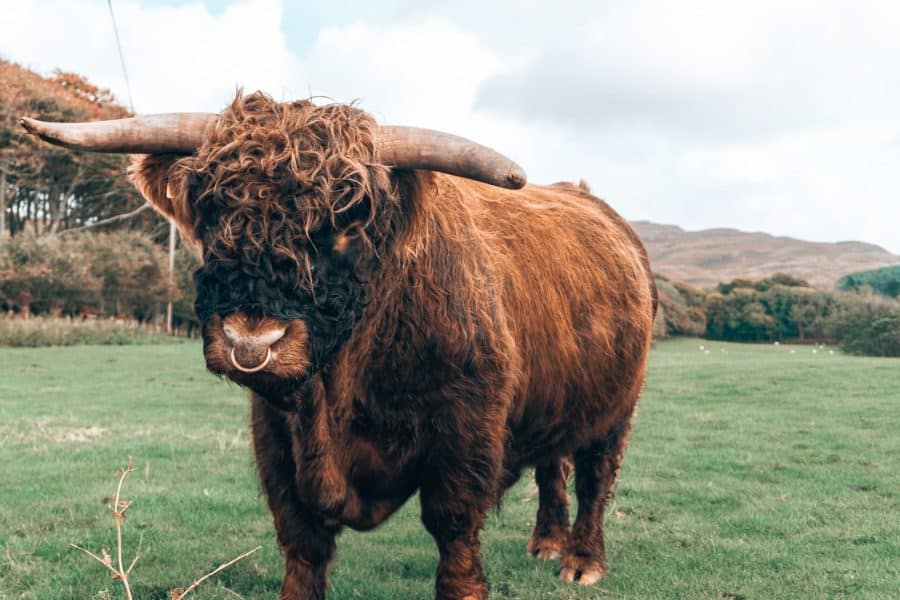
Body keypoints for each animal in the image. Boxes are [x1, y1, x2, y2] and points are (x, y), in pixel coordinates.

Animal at [21, 90, 652, 600]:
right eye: (211, 209)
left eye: (349, 221)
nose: (251, 340)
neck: (342, 390)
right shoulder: (276, 435)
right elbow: (300, 536)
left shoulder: (466, 424)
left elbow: (453, 526)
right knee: (552, 466)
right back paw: (546, 542)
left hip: (617, 407)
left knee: (594, 475)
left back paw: (580, 561)